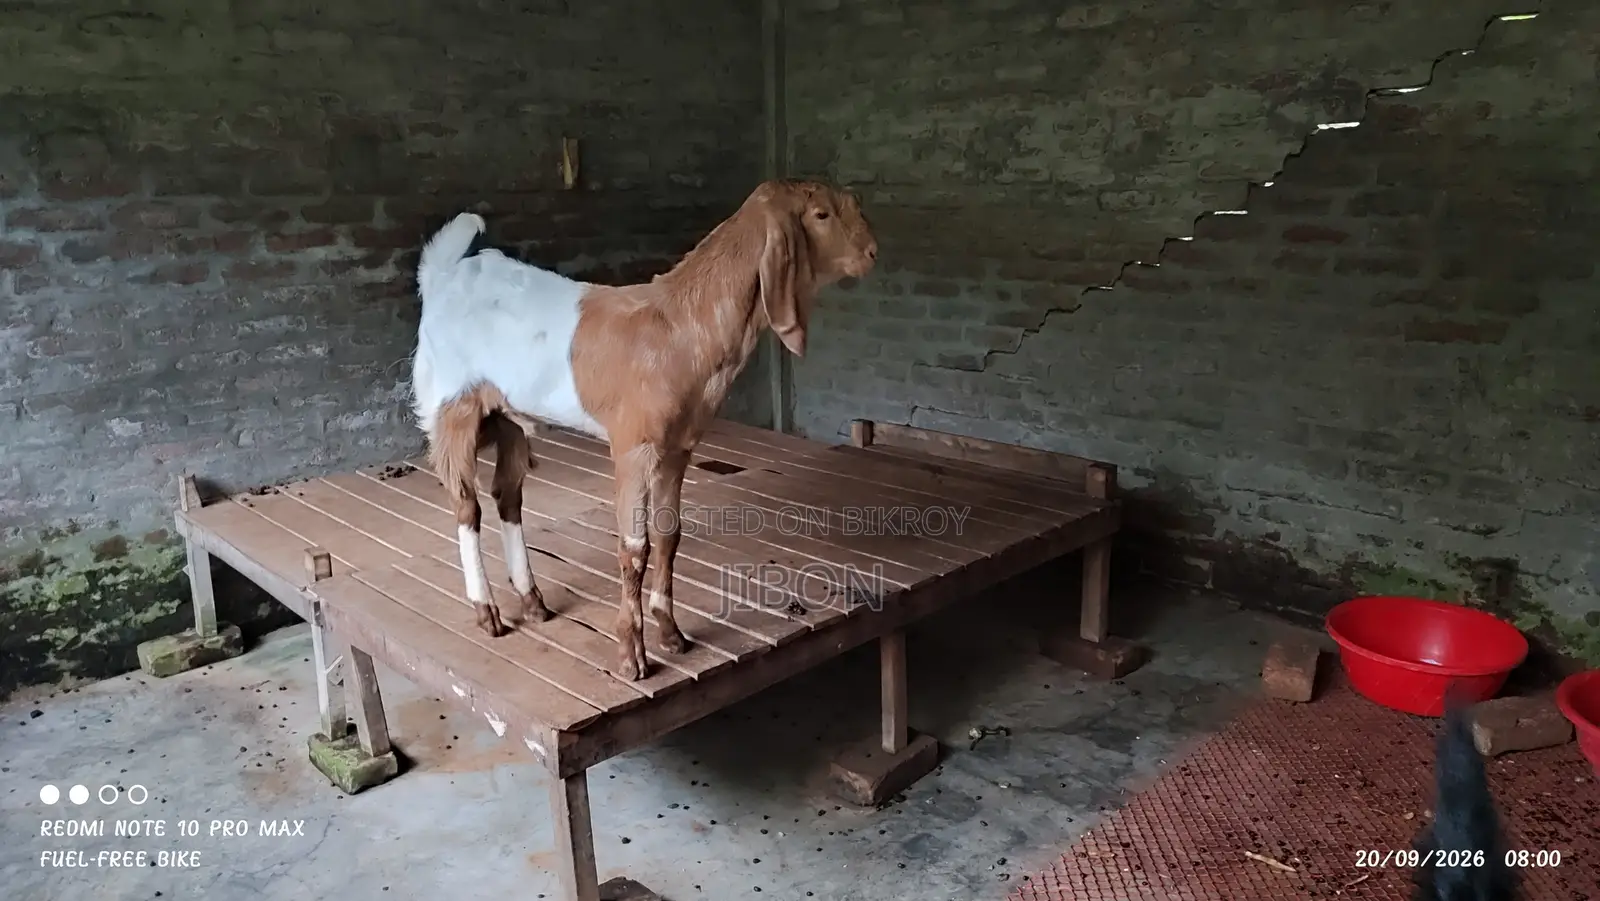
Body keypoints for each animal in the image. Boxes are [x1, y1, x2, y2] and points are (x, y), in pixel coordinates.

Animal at [409, 179, 878, 681]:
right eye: (821, 215)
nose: (871, 252)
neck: (680, 328)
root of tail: (441, 277)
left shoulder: (678, 447)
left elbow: (669, 535)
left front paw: (670, 632)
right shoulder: (633, 447)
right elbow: (635, 549)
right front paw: (631, 654)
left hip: (508, 414)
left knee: (507, 496)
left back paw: (532, 601)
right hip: (452, 405)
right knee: (467, 506)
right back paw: (487, 611)